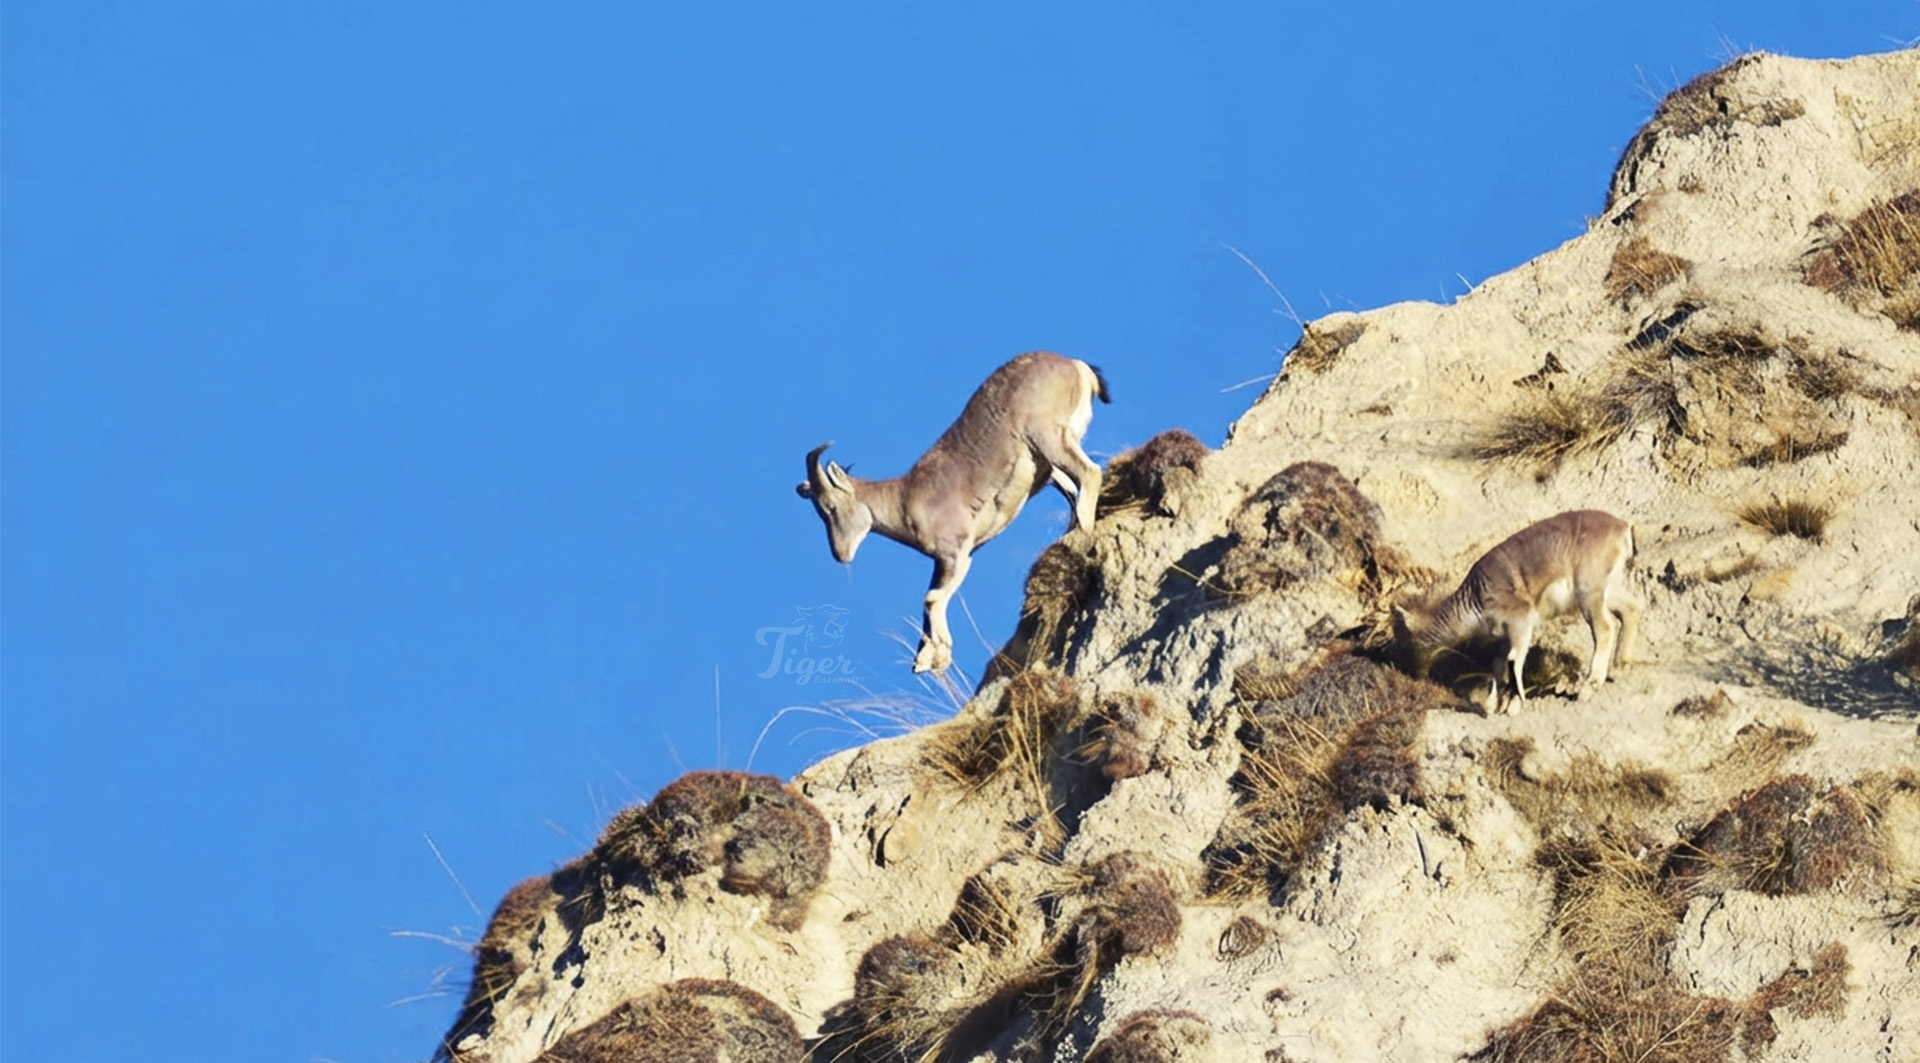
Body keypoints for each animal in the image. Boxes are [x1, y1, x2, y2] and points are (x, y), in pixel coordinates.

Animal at [796, 352, 1109, 673]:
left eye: (830, 507)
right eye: (819, 512)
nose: (841, 554)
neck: (906, 499)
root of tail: (1074, 365)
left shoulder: (957, 554)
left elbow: (932, 599)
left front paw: (938, 658)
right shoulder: (948, 562)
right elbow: (931, 601)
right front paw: (924, 658)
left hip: (1049, 439)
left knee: (1090, 473)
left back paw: (1084, 533)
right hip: (1050, 466)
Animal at [1392, 509, 1640, 712]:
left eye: (1405, 640)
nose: (1408, 672)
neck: (1474, 598)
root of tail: (1623, 527)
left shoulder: (1521, 621)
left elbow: (1516, 660)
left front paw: (1513, 705)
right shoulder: (1505, 635)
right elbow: (1500, 666)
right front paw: (1496, 705)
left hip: (1589, 594)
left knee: (1605, 628)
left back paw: (1588, 687)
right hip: (1609, 590)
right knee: (1632, 608)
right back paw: (1620, 667)